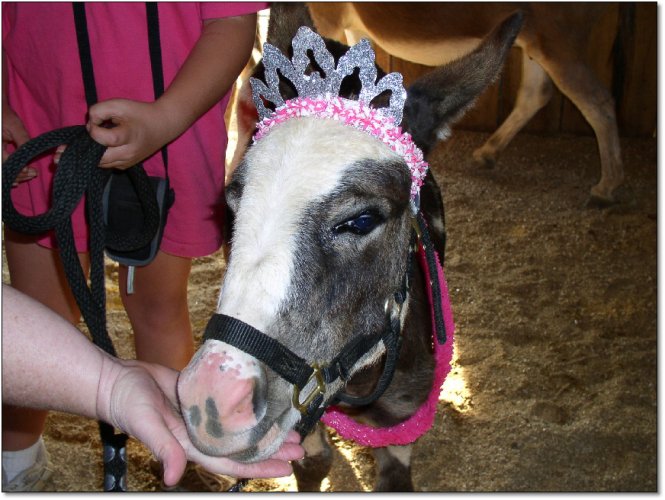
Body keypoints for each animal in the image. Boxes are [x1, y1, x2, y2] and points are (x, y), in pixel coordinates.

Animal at [176, 7, 522, 491]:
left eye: (361, 220)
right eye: (232, 205)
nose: (212, 403)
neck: (360, 381)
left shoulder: (403, 421)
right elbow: (313, 463)